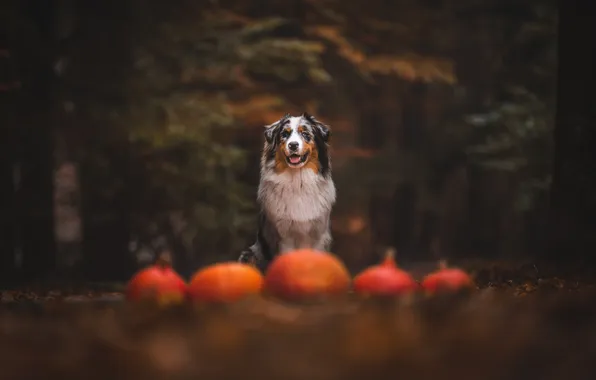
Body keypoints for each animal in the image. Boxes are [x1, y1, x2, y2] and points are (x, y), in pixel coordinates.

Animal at [240, 111, 338, 272]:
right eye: (284, 134)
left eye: (305, 134)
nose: (293, 145)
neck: (298, 182)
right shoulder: (283, 236)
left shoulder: (318, 234)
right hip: (250, 254)